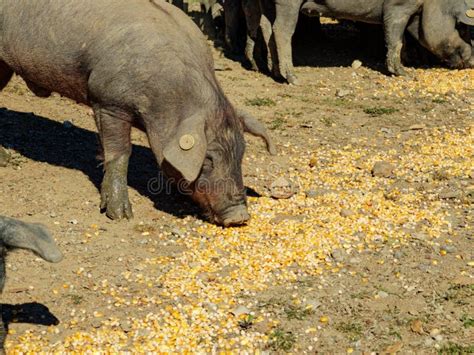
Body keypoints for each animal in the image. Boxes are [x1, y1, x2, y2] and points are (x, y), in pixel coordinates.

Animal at [0, 0, 276, 227]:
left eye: (241, 153)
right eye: (208, 159)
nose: (239, 216)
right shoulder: (108, 102)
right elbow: (120, 153)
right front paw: (120, 216)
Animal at [304, 0, 474, 76]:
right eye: (461, 27)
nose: (472, 62)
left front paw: (413, 63)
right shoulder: (396, 6)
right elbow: (395, 39)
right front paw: (405, 74)